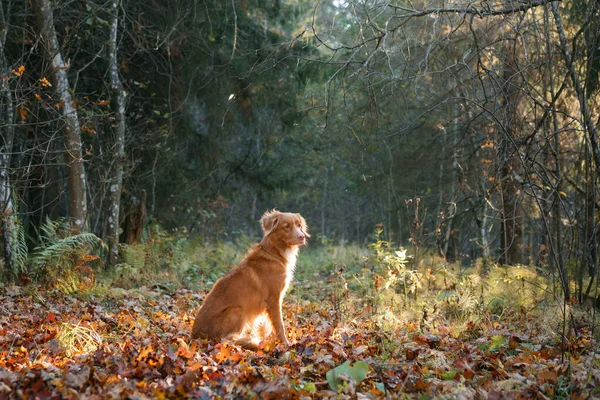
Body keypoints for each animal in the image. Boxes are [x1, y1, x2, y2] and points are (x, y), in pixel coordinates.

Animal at [192, 211, 310, 348]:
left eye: (299, 225)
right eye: (287, 226)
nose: (302, 237)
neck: (274, 253)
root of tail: (195, 335)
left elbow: (263, 327)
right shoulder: (274, 299)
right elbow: (279, 325)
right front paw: (285, 344)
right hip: (236, 311)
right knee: (227, 339)